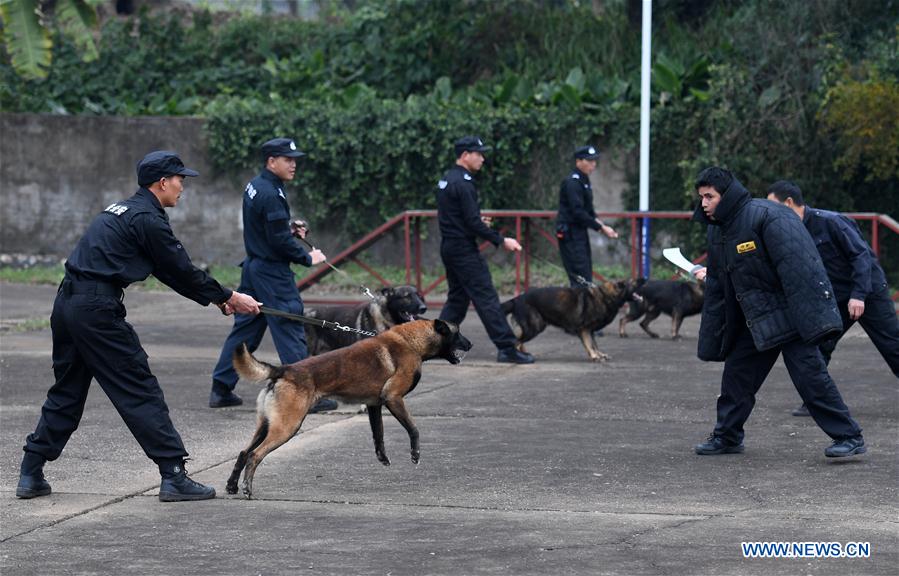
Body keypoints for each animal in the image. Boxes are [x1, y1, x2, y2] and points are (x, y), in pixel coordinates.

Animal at [227, 318, 472, 498]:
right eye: (458, 333)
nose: (471, 344)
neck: (410, 341)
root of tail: (284, 369)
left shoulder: (375, 404)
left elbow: (378, 434)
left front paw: (382, 457)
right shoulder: (393, 398)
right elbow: (413, 428)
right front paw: (415, 454)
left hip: (266, 425)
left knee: (243, 452)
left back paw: (232, 486)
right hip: (287, 427)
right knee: (254, 455)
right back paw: (247, 489)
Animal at [500, 278, 648, 362]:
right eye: (633, 281)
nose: (645, 278)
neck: (606, 297)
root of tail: (517, 299)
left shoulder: (591, 331)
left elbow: (595, 344)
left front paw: (599, 354)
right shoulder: (584, 329)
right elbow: (589, 344)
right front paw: (594, 356)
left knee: (519, 341)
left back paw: (525, 354)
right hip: (535, 326)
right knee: (516, 342)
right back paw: (519, 357)